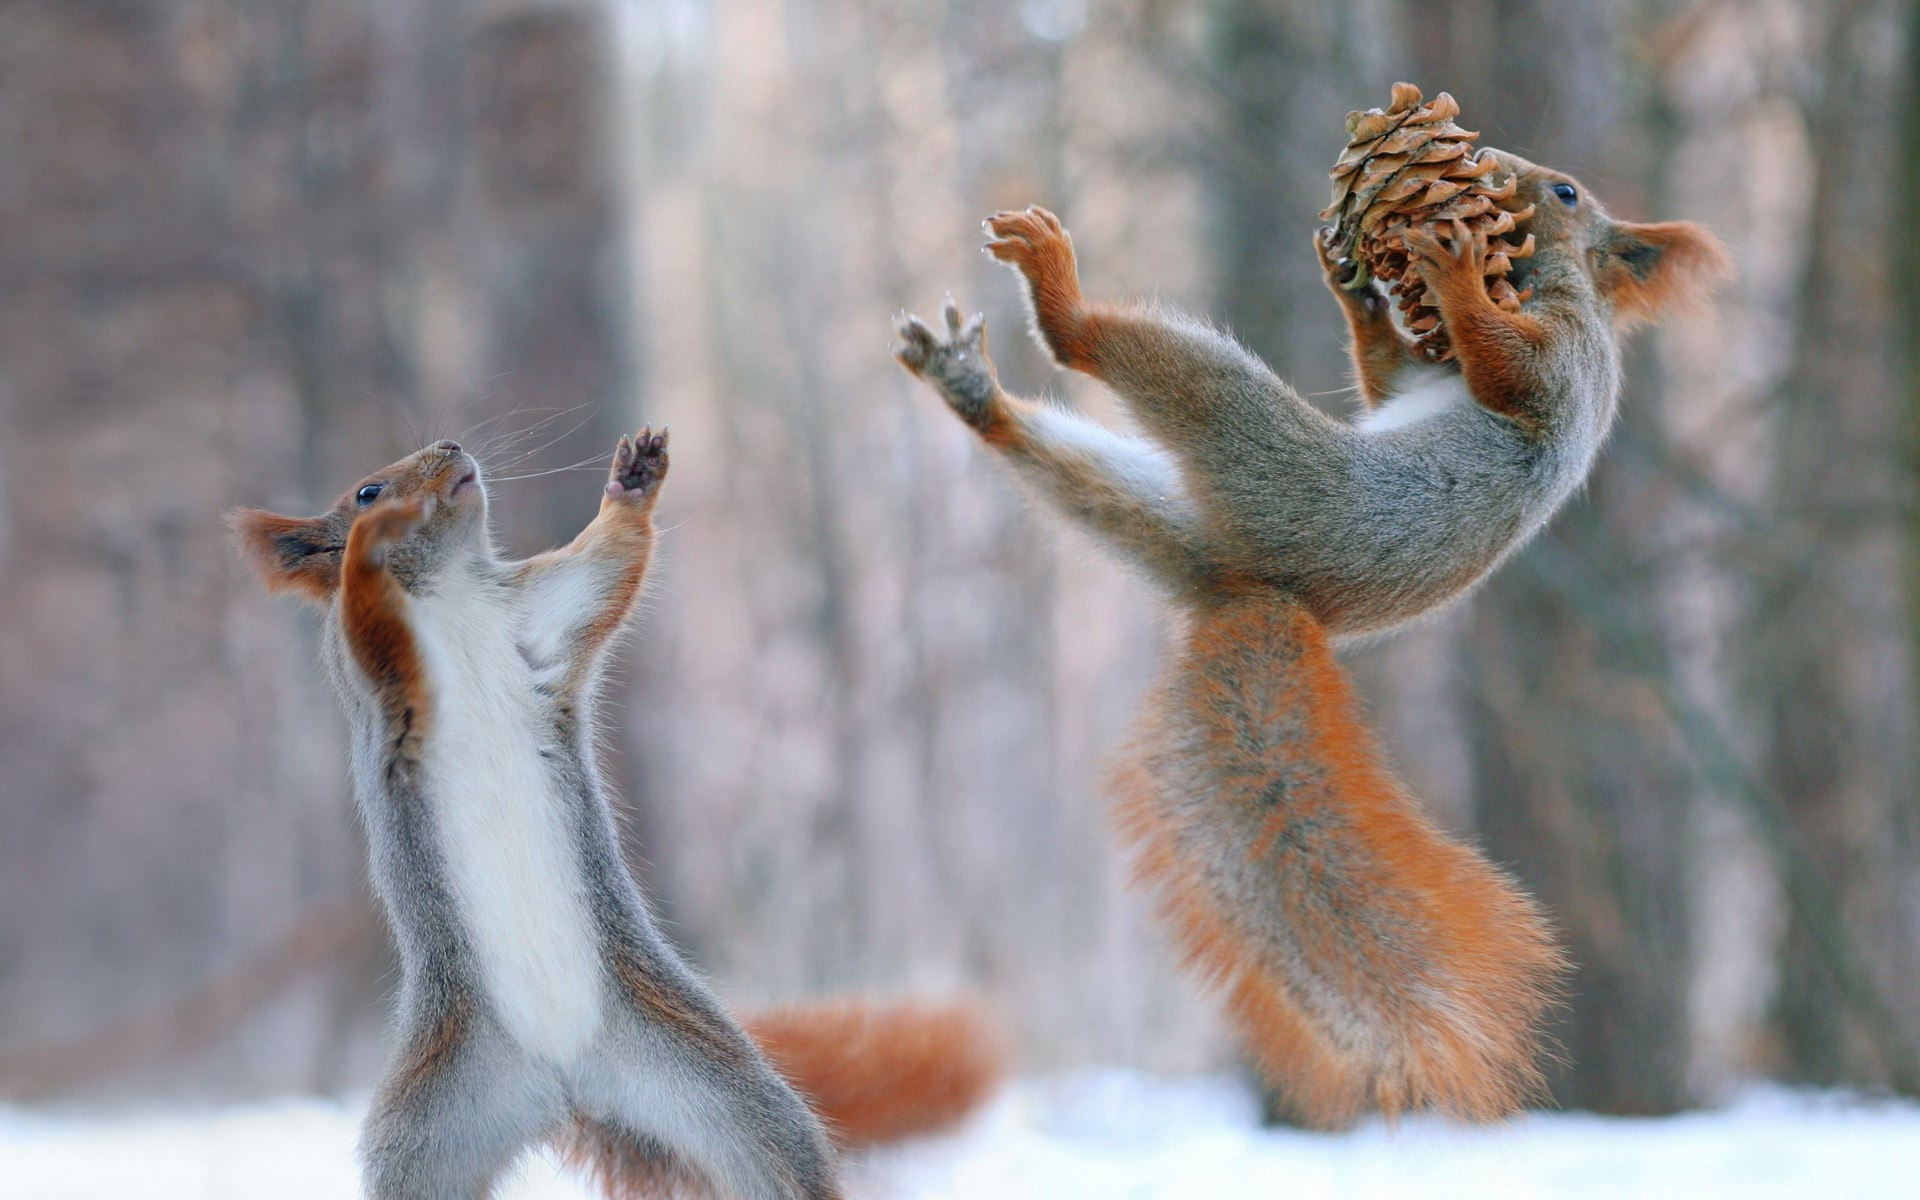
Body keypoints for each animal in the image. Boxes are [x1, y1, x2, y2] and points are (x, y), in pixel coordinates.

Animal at [230, 430, 998, 1198]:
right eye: (364, 492)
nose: (451, 446)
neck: (447, 591)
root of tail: (565, 1084)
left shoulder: (540, 614)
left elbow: (605, 568)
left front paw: (633, 481)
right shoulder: (375, 674)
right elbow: (368, 614)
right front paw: (370, 544)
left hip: (707, 1075)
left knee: (774, 1148)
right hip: (428, 1131)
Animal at [890, 149, 1735, 1121]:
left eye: (1564, 194)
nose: (1495, 169)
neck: (1541, 282)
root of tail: (1259, 591)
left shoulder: (1564, 362)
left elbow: (1508, 372)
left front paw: (1449, 275)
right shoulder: (1419, 378)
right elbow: (1387, 380)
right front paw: (1358, 290)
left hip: (1260, 450)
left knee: (1116, 357)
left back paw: (1058, 297)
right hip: (1165, 511)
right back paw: (972, 391)